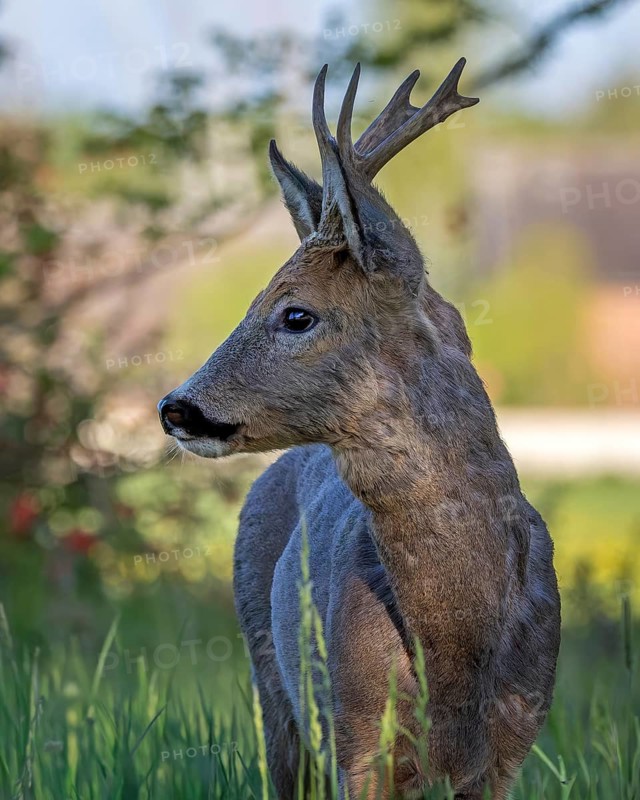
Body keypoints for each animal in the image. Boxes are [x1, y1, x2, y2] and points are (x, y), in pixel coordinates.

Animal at [158, 58, 561, 800]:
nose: (176, 407)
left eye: (295, 314)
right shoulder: (355, 735)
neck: (458, 642)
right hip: (273, 685)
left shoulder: (508, 752)